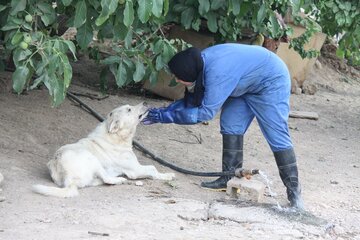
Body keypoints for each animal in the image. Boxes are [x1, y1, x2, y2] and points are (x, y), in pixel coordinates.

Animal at [31, 102, 175, 198]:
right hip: (93, 159)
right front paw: (167, 176)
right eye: (129, 109)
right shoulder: (135, 170)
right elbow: (153, 169)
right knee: (107, 179)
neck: (117, 136)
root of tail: (67, 179)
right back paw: (119, 180)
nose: (145, 102)